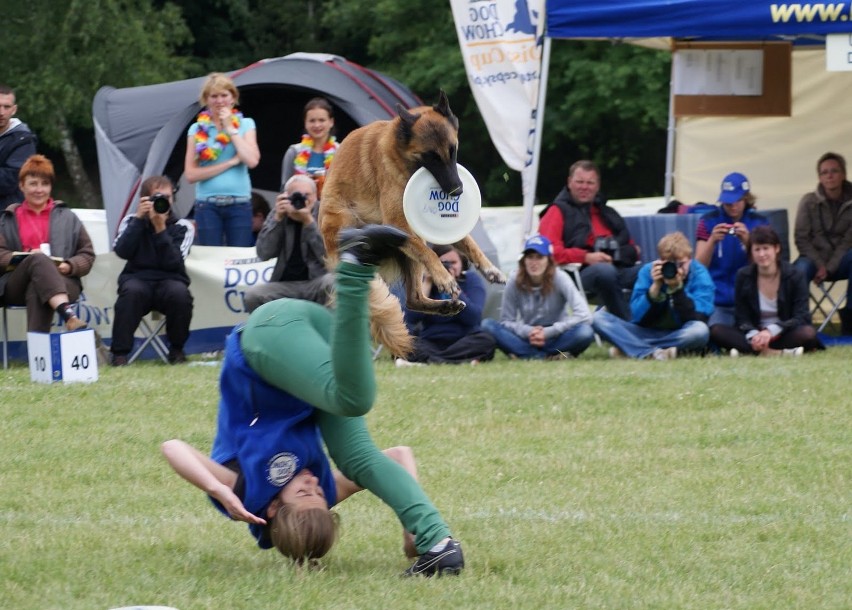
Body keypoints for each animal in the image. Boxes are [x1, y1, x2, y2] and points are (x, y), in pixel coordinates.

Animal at [320, 90, 506, 356]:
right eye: (431, 156)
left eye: (453, 150)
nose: (458, 190)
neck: (401, 156)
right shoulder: (399, 223)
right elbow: (431, 254)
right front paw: (444, 277)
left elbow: (469, 243)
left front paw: (490, 269)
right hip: (350, 220)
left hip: (408, 257)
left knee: (413, 299)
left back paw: (445, 307)